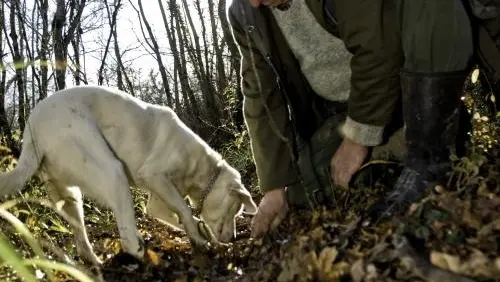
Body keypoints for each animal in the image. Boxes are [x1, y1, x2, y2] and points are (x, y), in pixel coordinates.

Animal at [0, 85, 258, 264]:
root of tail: (32, 132)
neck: (200, 166)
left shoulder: (158, 203)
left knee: (82, 243)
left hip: (71, 198)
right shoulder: (155, 176)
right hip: (112, 171)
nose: (234, 239)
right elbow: (185, 211)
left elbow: (181, 216)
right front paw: (200, 241)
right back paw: (142, 254)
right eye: (236, 210)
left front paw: (197, 233)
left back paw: (96, 264)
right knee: (126, 236)